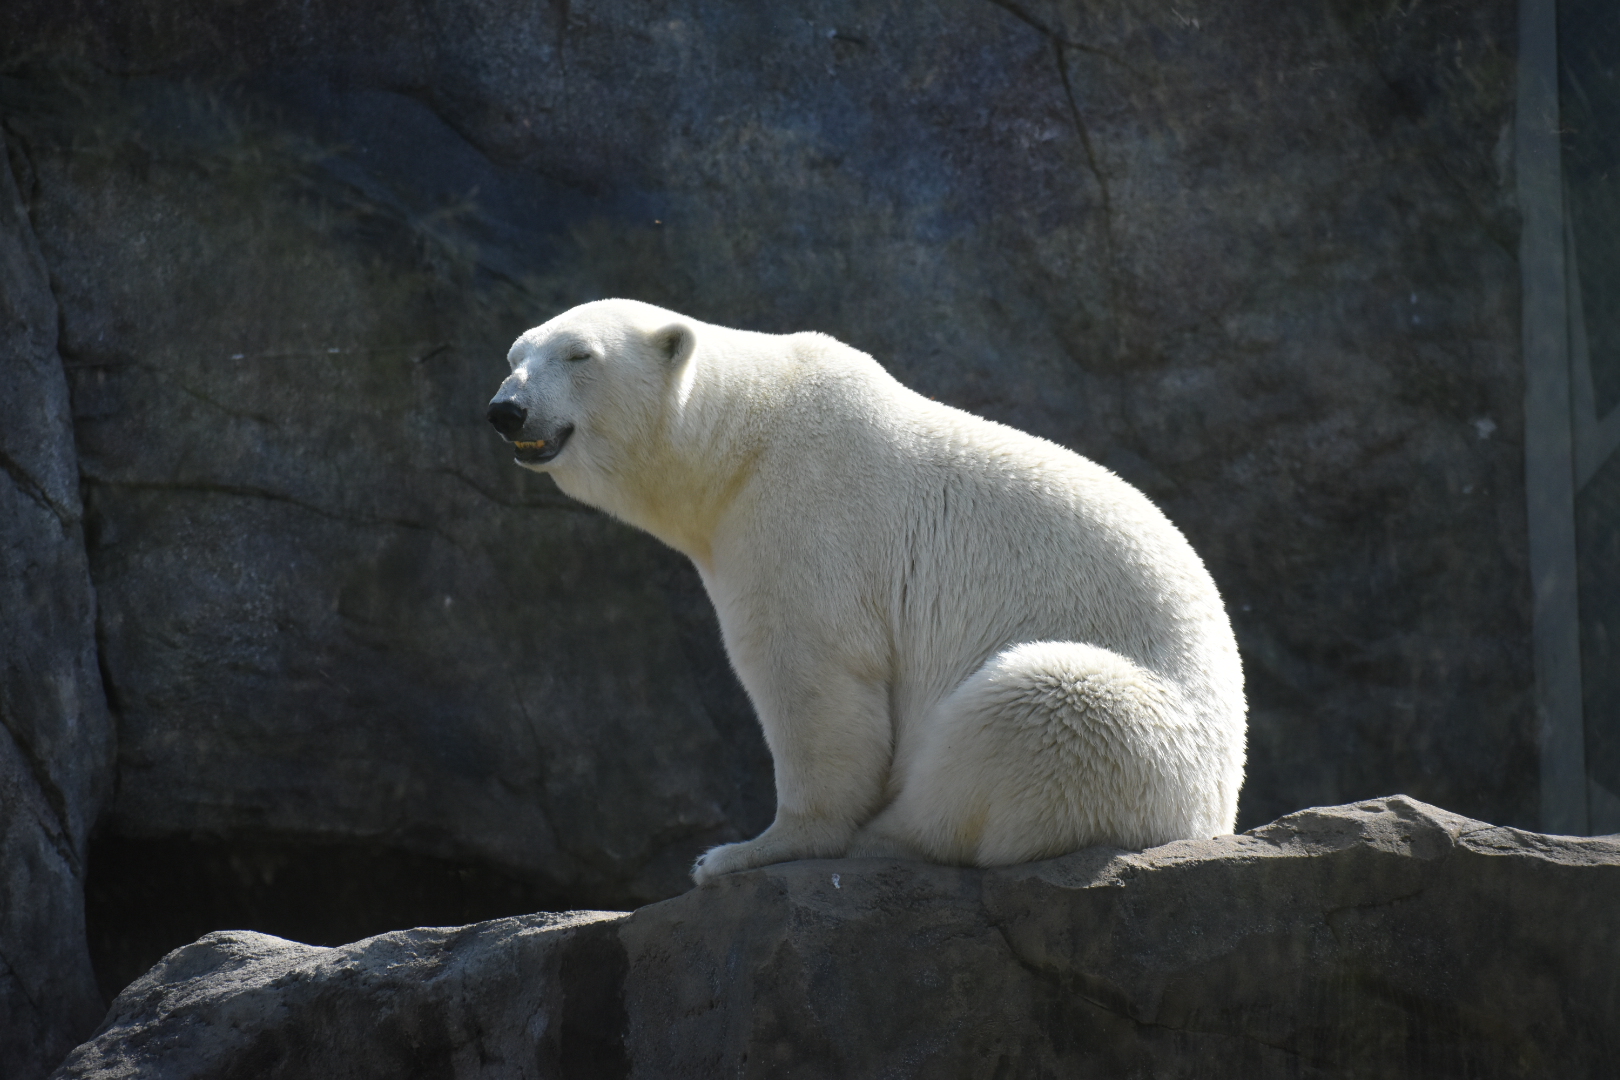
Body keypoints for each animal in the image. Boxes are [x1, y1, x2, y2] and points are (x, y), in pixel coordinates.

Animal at [487, 299, 1245, 883]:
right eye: (515, 353)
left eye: (579, 355)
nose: (507, 409)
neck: (744, 439)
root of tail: (1213, 811)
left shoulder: (806, 518)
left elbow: (814, 678)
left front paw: (741, 852)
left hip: (1140, 743)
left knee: (1035, 703)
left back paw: (884, 835)